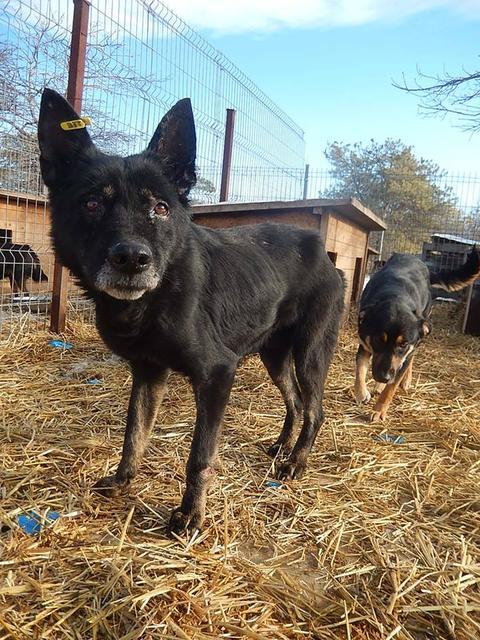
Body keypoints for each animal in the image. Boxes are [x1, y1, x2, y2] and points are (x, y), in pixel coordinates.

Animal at [37, 87, 344, 532]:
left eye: (161, 208)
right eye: (91, 204)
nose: (131, 259)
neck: (155, 298)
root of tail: (324, 253)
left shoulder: (217, 373)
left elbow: (200, 455)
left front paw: (191, 514)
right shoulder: (149, 372)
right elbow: (134, 434)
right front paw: (122, 481)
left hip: (310, 354)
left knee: (315, 410)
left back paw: (296, 463)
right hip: (273, 355)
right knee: (296, 403)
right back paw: (281, 448)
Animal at [352, 248, 480, 422]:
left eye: (403, 344)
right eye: (379, 339)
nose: (384, 377)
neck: (396, 296)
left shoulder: (406, 353)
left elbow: (391, 387)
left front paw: (379, 410)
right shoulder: (365, 343)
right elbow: (360, 369)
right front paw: (361, 393)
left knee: (410, 360)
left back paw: (403, 381)